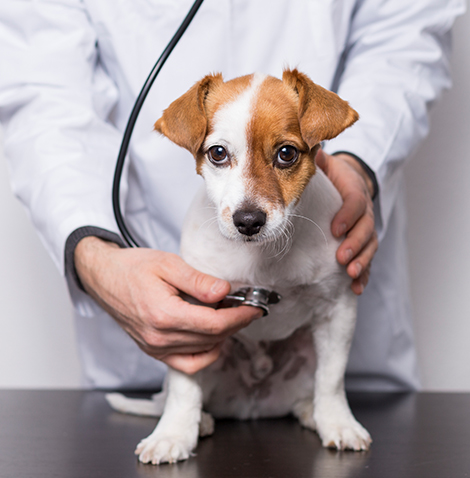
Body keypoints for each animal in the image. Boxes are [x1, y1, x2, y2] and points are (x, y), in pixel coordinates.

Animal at [106, 69, 370, 464]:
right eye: (218, 153)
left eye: (287, 154)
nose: (248, 221)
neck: (262, 257)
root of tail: (251, 405)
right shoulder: (190, 315)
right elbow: (184, 387)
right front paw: (173, 434)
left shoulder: (338, 310)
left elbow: (332, 379)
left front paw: (338, 423)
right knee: (180, 393)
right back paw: (199, 421)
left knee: (310, 389)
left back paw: (311, 412)